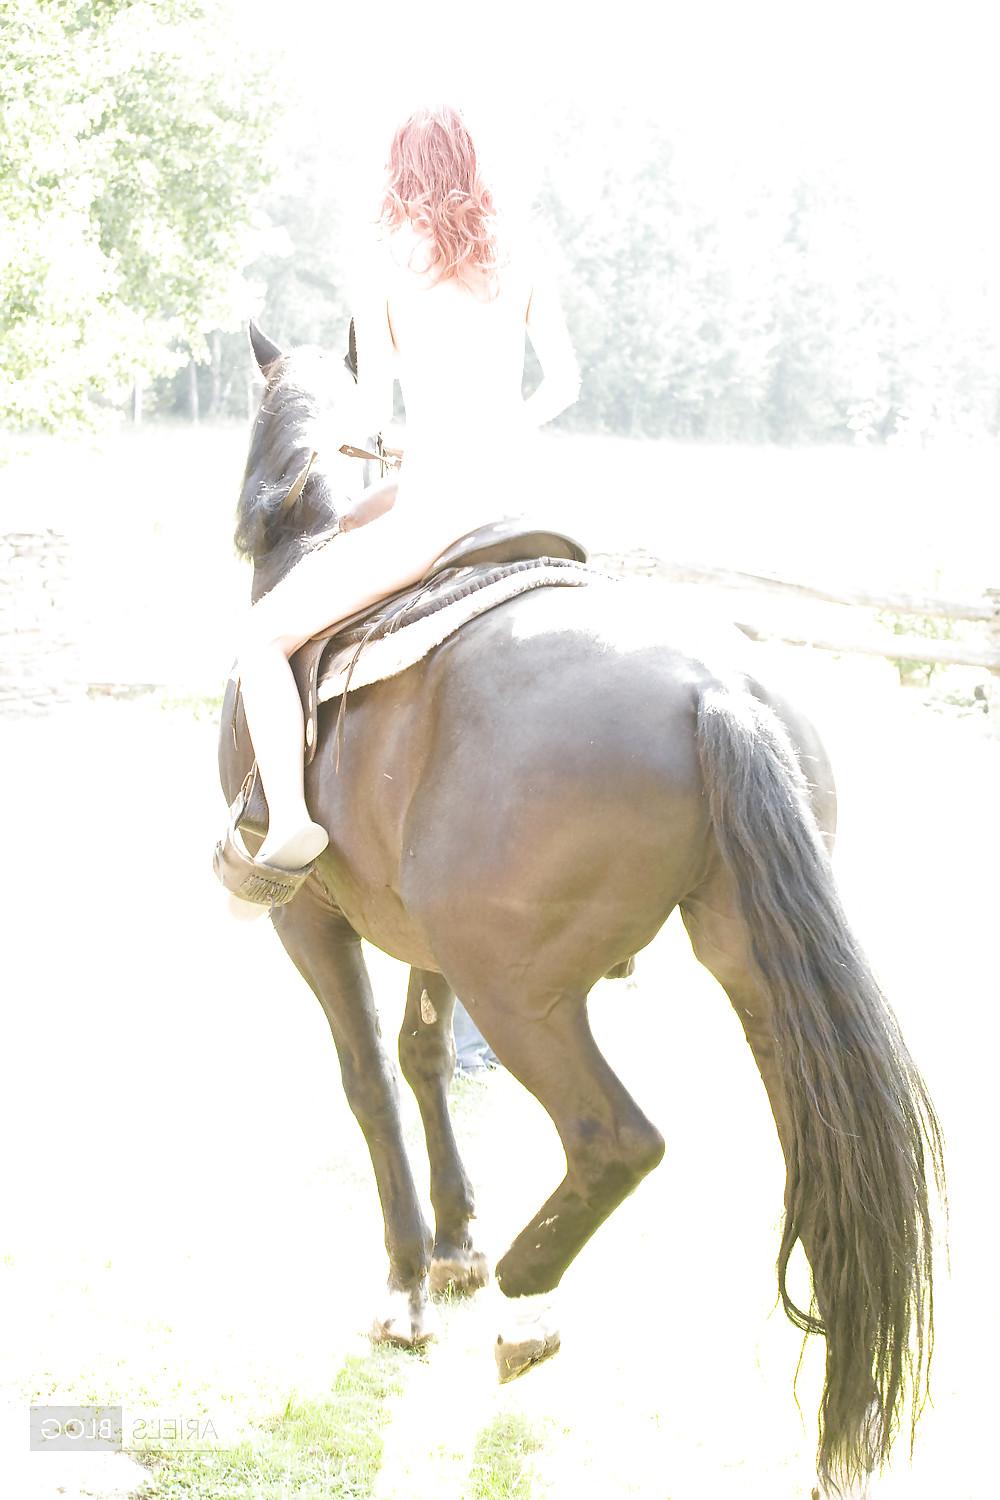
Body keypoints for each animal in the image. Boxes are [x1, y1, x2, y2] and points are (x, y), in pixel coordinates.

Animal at [217, 327, 944, 1494]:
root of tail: (711, 690)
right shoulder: (423, 942)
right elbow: (424, 1057)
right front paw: (456, 1246)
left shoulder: (311, 922)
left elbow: (369, 1080)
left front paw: (411, 1284)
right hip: (750, 976)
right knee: (821, 1146)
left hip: (521, 994)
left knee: (616, 1142)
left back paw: (528, 1306)